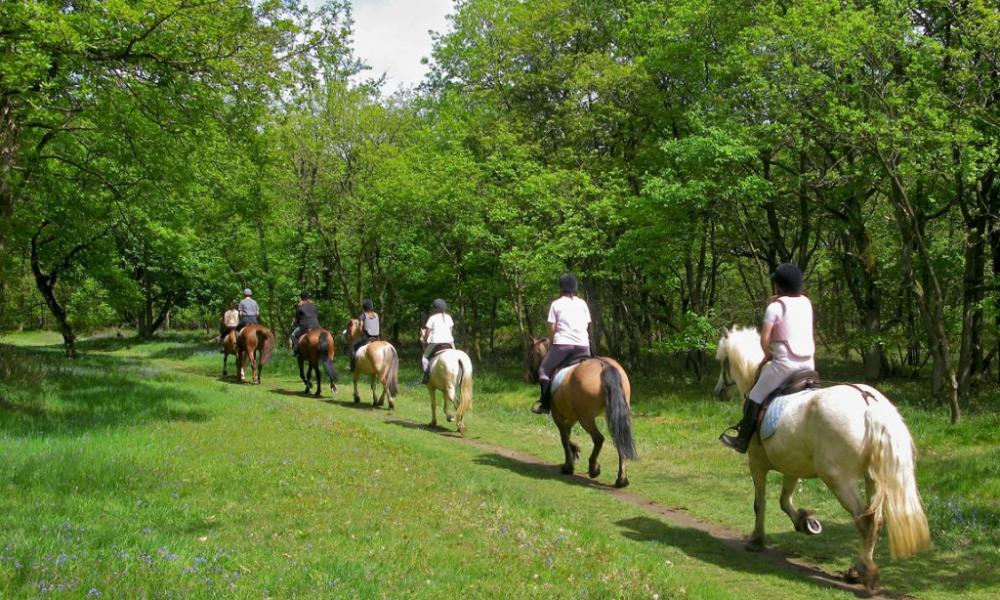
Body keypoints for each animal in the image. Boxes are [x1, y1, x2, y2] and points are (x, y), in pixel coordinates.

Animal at [528, 338, 636, 488]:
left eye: (531, 354)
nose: (528, 376)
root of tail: (603, 365)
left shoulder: (558, 415)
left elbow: (564, 437)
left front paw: (568, 466)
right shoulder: (572, 416)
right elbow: (567, 434)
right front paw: (575, 452)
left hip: (586, 418)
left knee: (598, 439)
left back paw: (593, 469)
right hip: (613, 415)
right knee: (619, 440)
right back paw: (621, 480)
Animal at [716, 324, 932, 592]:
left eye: (723, 362)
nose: (718, 391)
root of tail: (869, 404)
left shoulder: (756, 463)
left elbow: (760, 503)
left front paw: (756, 540)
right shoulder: (792, 465)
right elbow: (784, 500)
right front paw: (805, 522)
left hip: (838, 479)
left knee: (864, 520)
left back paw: (865, 572)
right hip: (873, 478)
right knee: (876, 521)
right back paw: (857, 569)